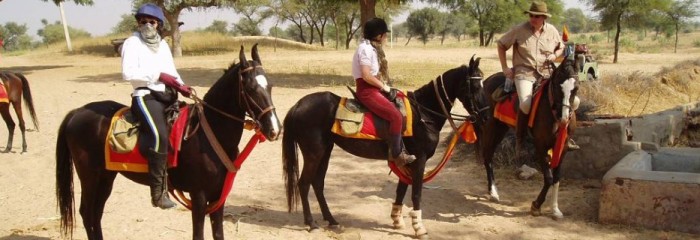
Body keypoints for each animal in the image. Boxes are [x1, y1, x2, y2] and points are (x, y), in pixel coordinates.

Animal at [55, 45, 282, 240]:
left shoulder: (218, 196)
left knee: (96, 213)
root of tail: (77, 112)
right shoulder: (199, 197)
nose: (275, 129)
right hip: (90, 176)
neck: (208, 134)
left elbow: (218, 233)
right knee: (87, 213)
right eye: (250, 88)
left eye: (270, 86)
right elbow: (198, 235)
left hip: (106, 177)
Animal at [476, 58, 580, 219]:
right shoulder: (541, 146)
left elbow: (557, 177)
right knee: (487, 157)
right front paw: (536, 205)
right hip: (490, 128)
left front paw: (555, 209)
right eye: (557, 86)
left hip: (500, 129)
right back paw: (493, 192)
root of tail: (487, 81)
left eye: (575, 89)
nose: (563, 118)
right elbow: (549, 178)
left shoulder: (562, 147)